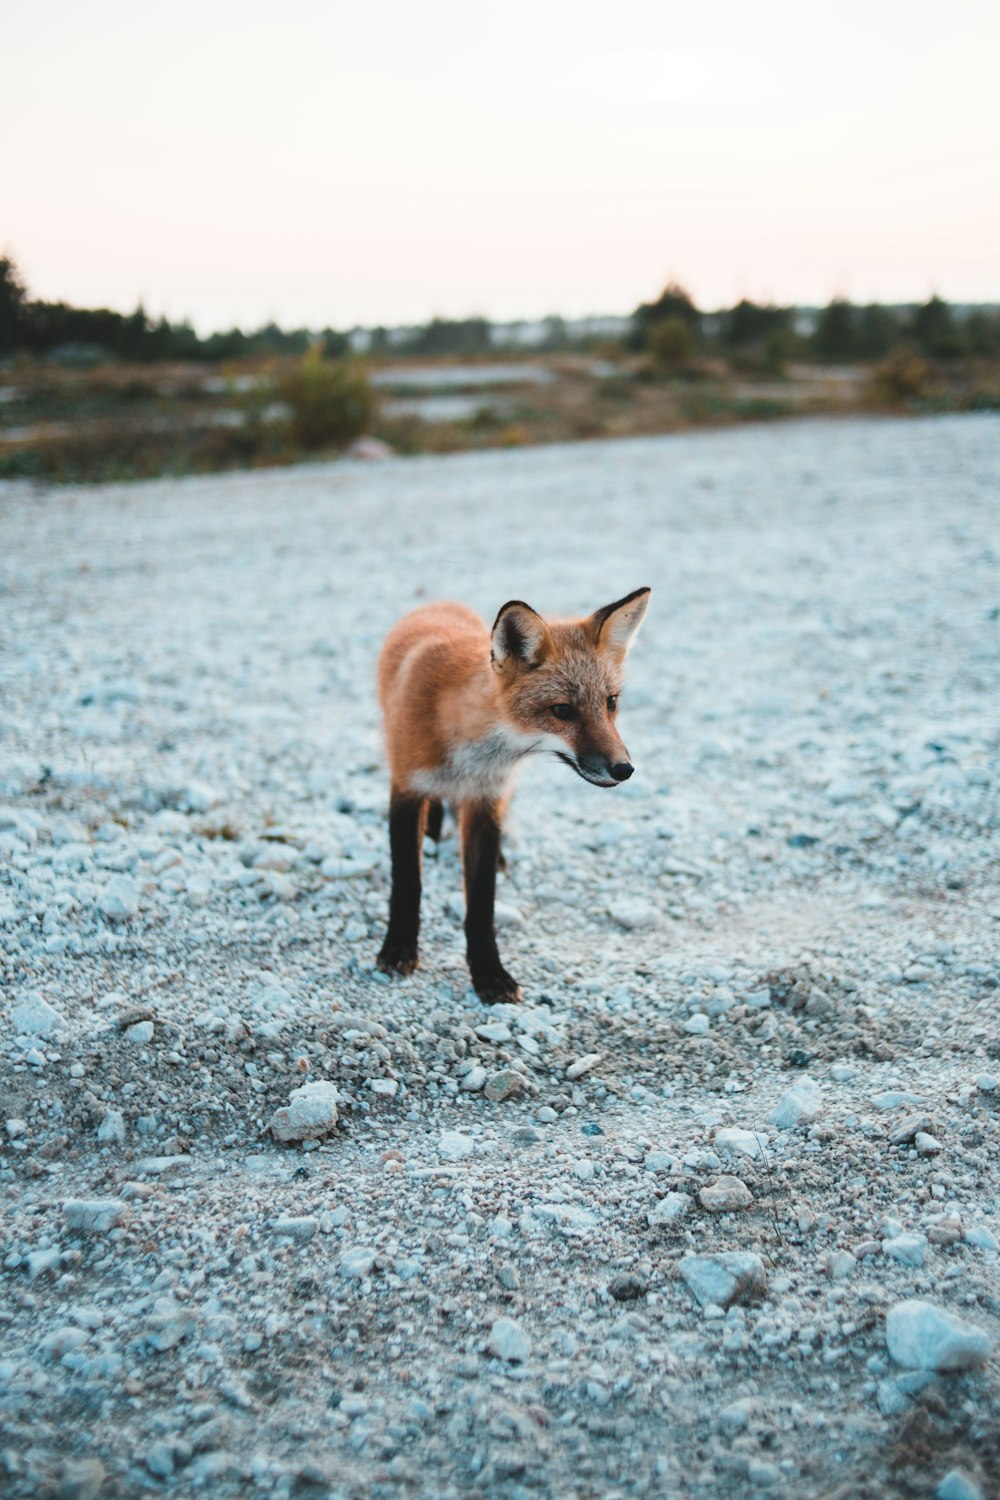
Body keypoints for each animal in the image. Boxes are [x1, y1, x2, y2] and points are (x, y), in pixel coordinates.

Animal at [374, 591, 650, 1002]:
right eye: (562, 710)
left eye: (611, 702)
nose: (624, 769)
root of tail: (440, 602)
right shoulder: (407, 788)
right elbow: (408, 883)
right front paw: (399, 948)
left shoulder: (487, 799)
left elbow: (482, 904)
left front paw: (489, 973)